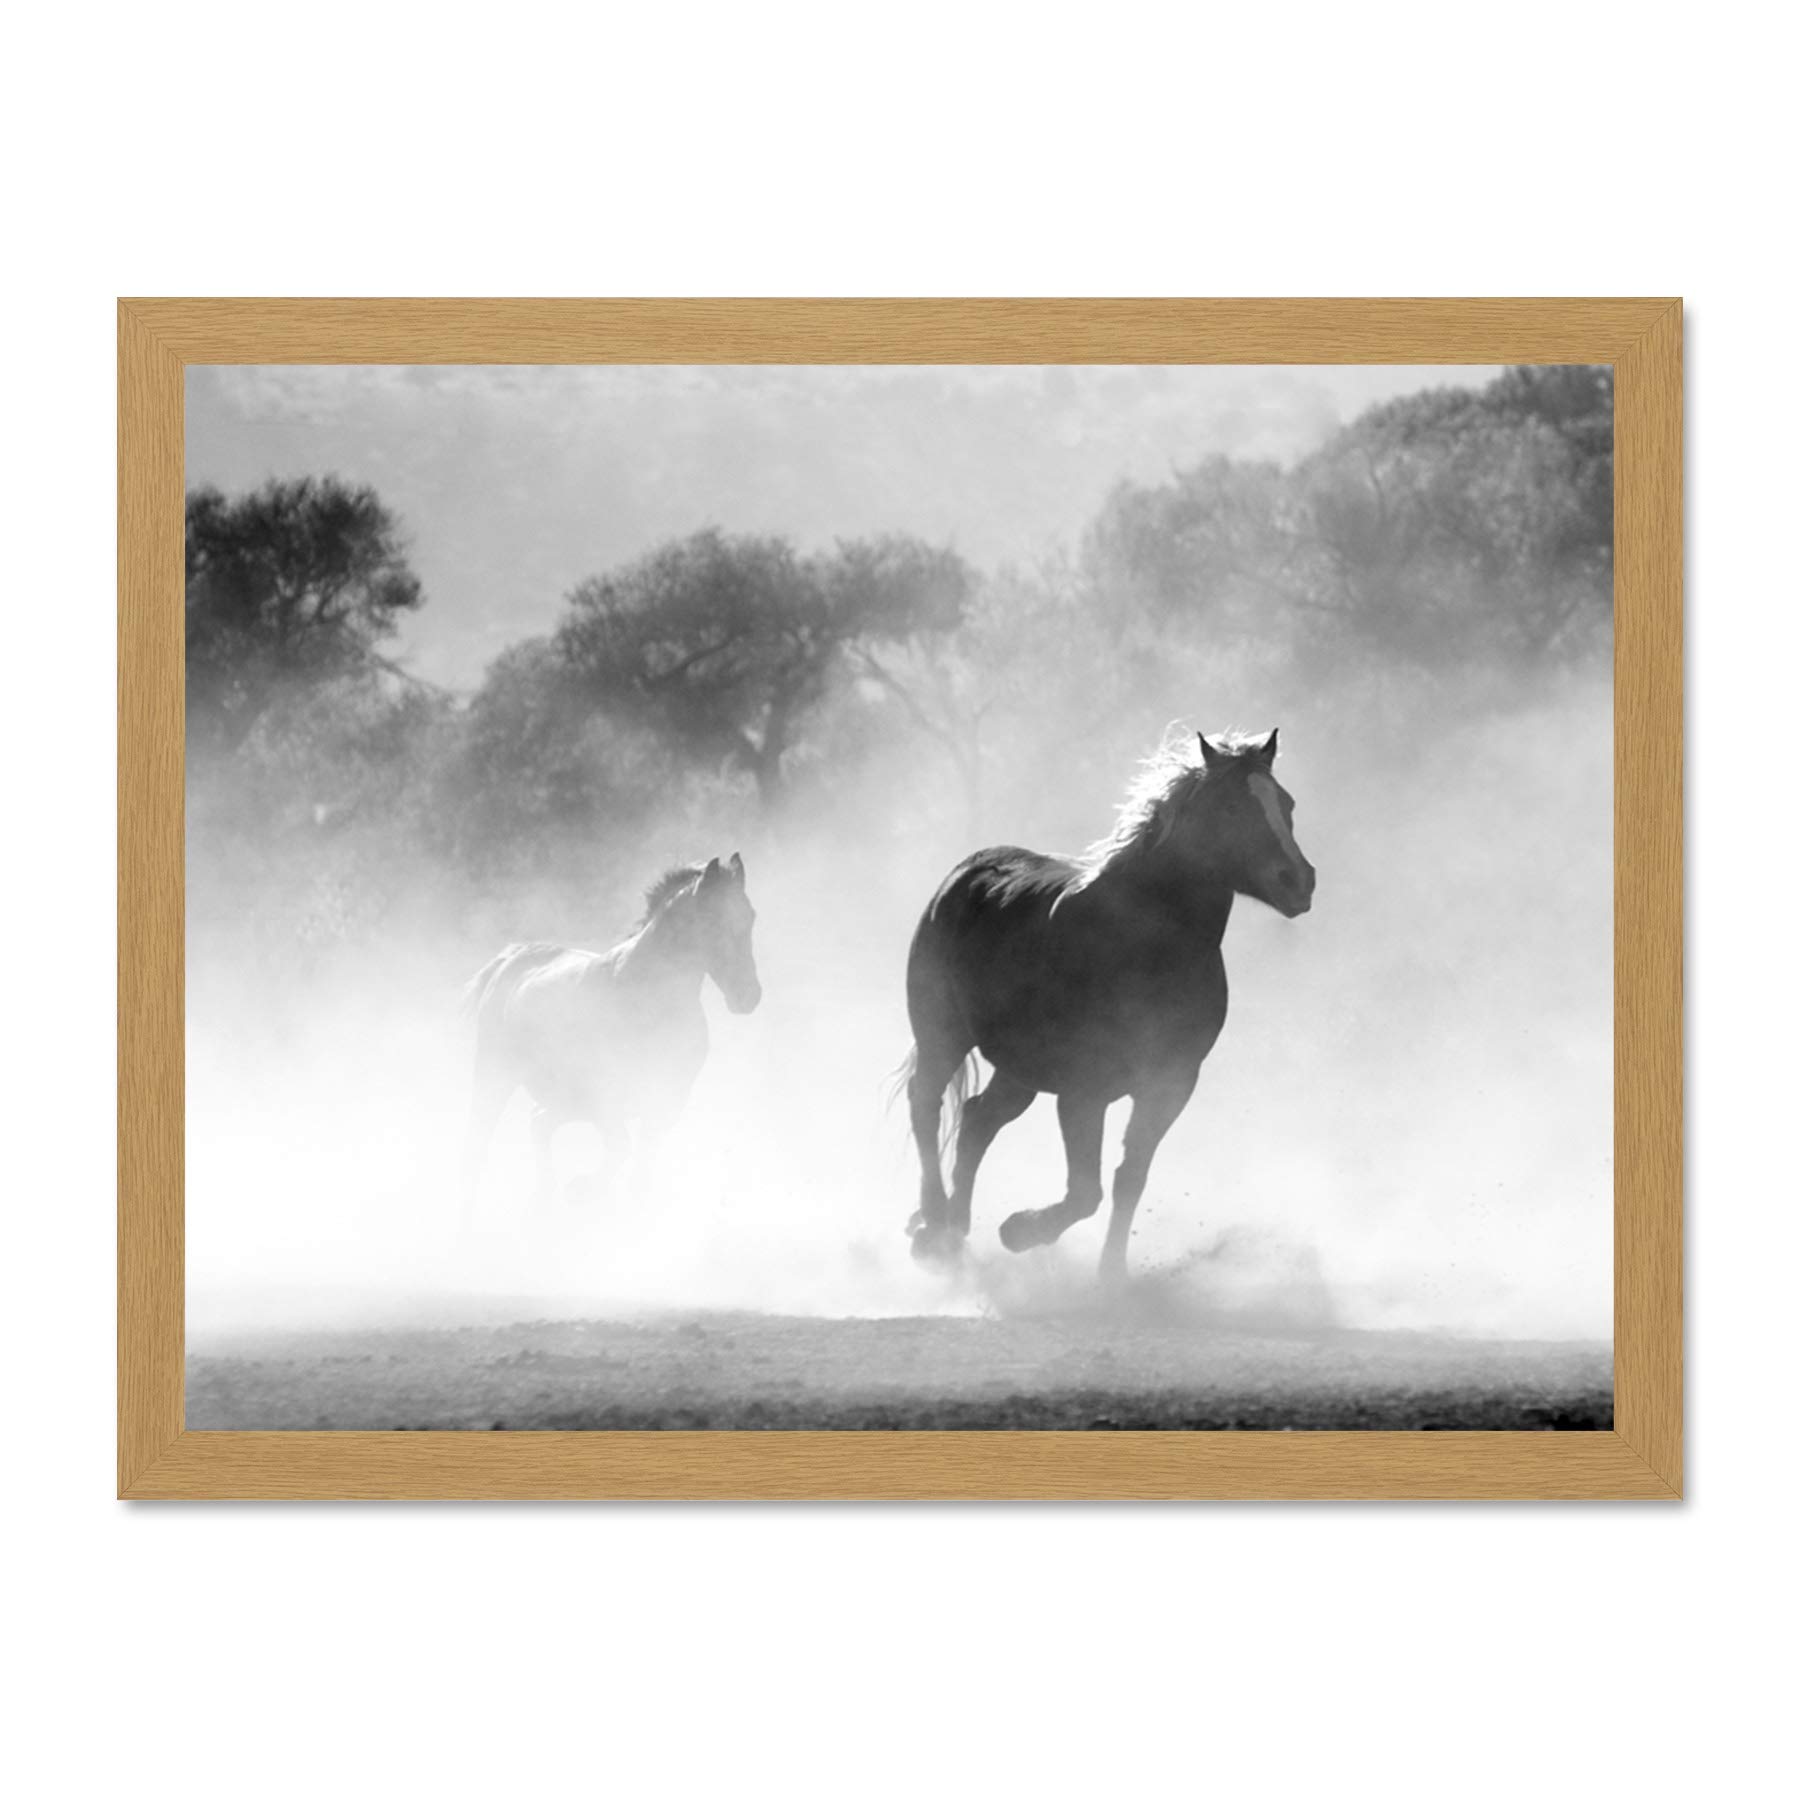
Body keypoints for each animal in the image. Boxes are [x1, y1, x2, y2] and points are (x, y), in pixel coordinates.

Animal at [461, 853, 761, 1223]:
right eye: (712, 920)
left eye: (750, 916)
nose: (748, 996)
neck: (649, 998)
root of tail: (511, 959)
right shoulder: (605, 1097)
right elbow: (621, 1148)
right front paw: (581, 1190)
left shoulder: (666, 1101)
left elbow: (640, 1174)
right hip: (496, 1076)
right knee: (479, 1143)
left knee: (538, 1123)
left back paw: (542, 1202)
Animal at [902, 728, 1314, 1281]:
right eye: (1231, 806)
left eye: (1285, 803)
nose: (1299, 880)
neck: (1145, 947)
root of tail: (965, 873)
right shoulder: (1084, 1090)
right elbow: (1085, 1192)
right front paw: (1019, 1231)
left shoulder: (1170, 1085)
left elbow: (1128, 1178)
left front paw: (1111, 1274)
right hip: (942, 1035)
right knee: (926, 1104)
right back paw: (932, 1225)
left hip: (1019, 1069)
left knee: (975, 1121)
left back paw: (954, 1229)